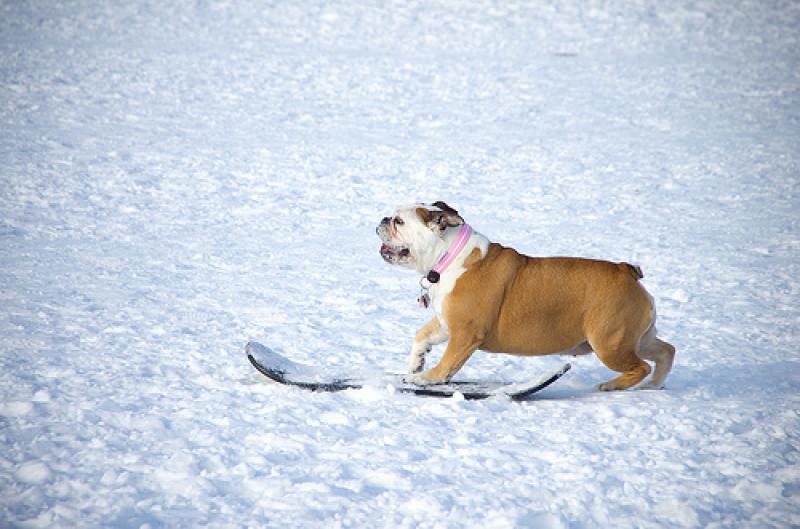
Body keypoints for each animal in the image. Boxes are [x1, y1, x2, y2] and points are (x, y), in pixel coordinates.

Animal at [376, 200, 676, 390]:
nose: (382, 219)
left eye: (399, 221)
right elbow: (422, 335)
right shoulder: (446, 321)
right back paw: (653, 386)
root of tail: (627, 271)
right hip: (635, 338)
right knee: (665, 352)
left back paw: (611, 386)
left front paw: (426, 378)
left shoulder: (465, 332)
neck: (448, 255)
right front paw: (416, 363)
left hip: (609, 342)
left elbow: (449, 362)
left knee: (641, 367)